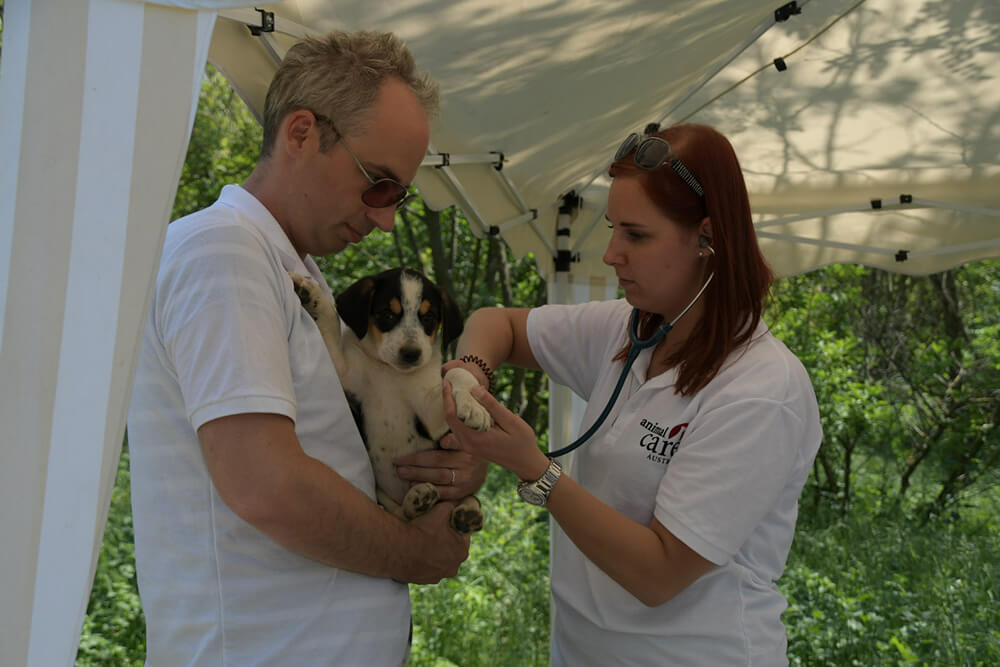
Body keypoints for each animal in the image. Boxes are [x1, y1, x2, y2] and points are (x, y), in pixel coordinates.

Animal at [290, 267, 492, 534]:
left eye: (429, 318)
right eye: (387, 314)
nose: (411, 354)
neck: (390, 372)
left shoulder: (432, 419)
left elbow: (457, 372)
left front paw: (474, 407)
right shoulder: (344, 373)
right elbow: (330, 322)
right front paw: (311, 293)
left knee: (461, 499)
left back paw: (467, 513)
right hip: (383, 494)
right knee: (401, 514)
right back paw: (419, 499)